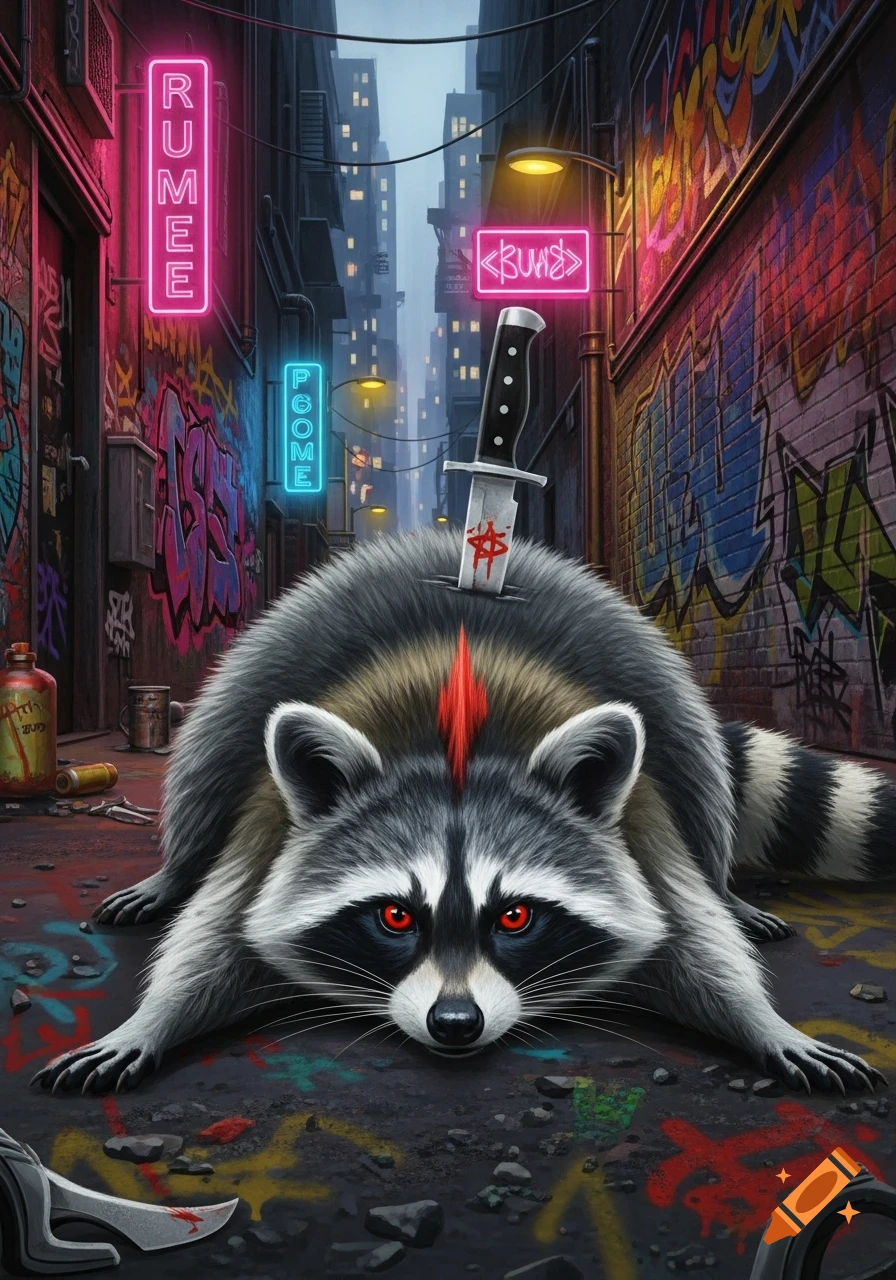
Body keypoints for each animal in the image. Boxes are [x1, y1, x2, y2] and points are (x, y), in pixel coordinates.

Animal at [33, 530, 892, 1095]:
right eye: (394, 917)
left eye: (514, 917)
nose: (455, 1024)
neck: (455, 752)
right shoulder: (269, 828)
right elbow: (213, 939)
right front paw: (153, 1019)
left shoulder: (644, 829)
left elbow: (694, 942)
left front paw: (761, 1022)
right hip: (274, 649)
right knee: (207, 760)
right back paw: (172, 871)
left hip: (647, 669)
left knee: (702, 780)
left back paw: (731, 889)